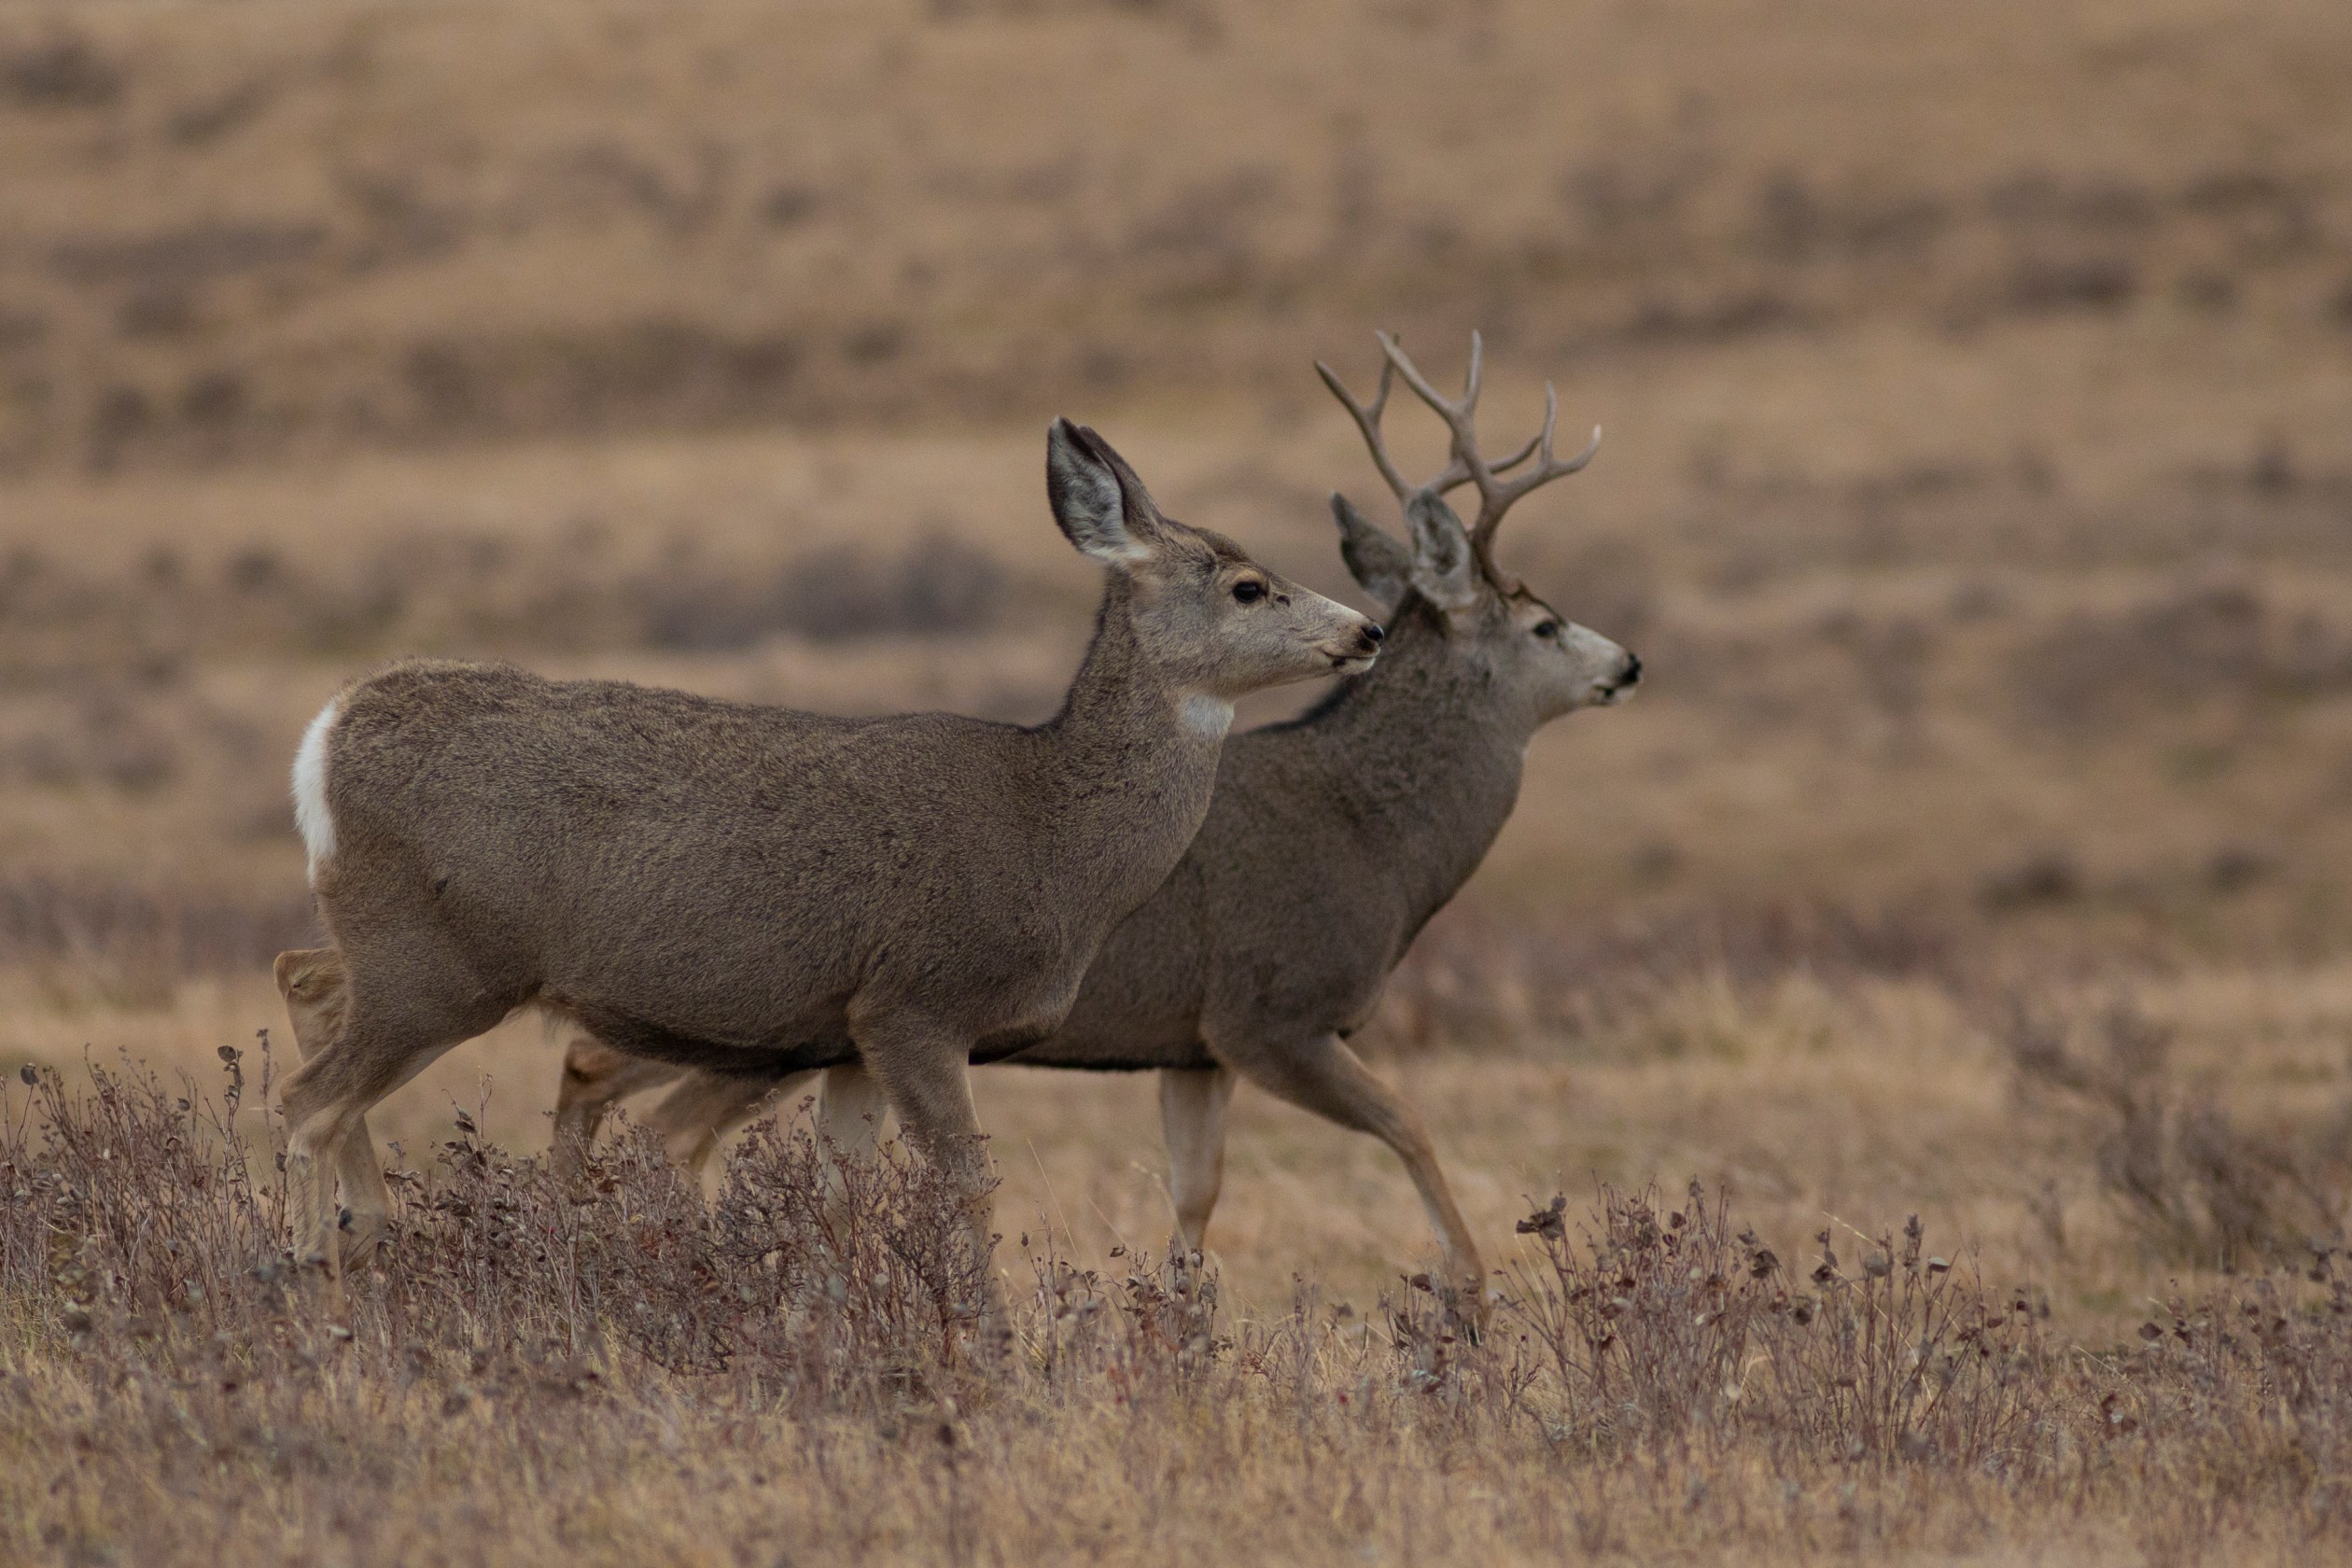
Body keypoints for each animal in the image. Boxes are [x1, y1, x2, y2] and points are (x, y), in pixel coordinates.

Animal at [271, 418, 1384, 1327]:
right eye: (1247, 586)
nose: (1367, 629)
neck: (1053, 834)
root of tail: (328, 730)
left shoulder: (848, 1032)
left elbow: (838, 1200)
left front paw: (831, 1328)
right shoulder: (920, 1003)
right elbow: (966, 1186)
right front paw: (993, 1342)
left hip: (390, 941)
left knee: (303, 985)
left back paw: (357, 1233)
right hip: (440, 964)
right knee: (305, 1100)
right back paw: (305, 1275)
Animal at [522, 333, 1639, 1311]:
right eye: (1545, 624)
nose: (1629, 664)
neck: (1378, 835)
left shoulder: (1191, 1049)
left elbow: (1196, 1199)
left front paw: (1183, 1328)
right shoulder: (1269, 1008)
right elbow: (1410, 1122)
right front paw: (1472, 1295)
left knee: (597, 1076)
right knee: (644, 1110)